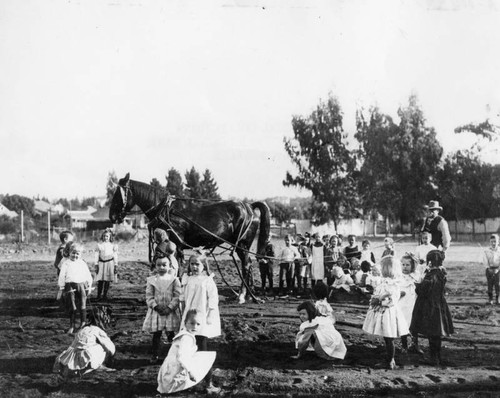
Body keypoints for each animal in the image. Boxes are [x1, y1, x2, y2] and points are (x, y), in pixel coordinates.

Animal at [108, 173, 270, 304]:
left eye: (118, 195)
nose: (112, 216)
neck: (166, 209)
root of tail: (249, 206)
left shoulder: (175, 244)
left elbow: (177, 267)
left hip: (242, 244)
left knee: (246, 265)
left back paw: (242, 296)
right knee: (248, 265)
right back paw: (249, 295)